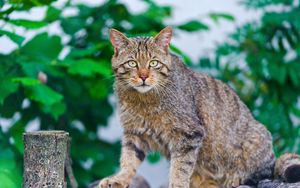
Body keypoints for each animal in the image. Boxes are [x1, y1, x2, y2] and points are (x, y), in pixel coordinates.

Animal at [98, 26, 300, 188]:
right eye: (132, 63)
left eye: (153, 63)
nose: (143, 76)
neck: (143, 100)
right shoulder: (134, 133)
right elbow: (128, 161)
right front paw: (119, 179)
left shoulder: (188, 134)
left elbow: (180, 168)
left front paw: (177, 185)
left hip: (257, 139)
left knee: (258, 175)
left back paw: (235, 178)